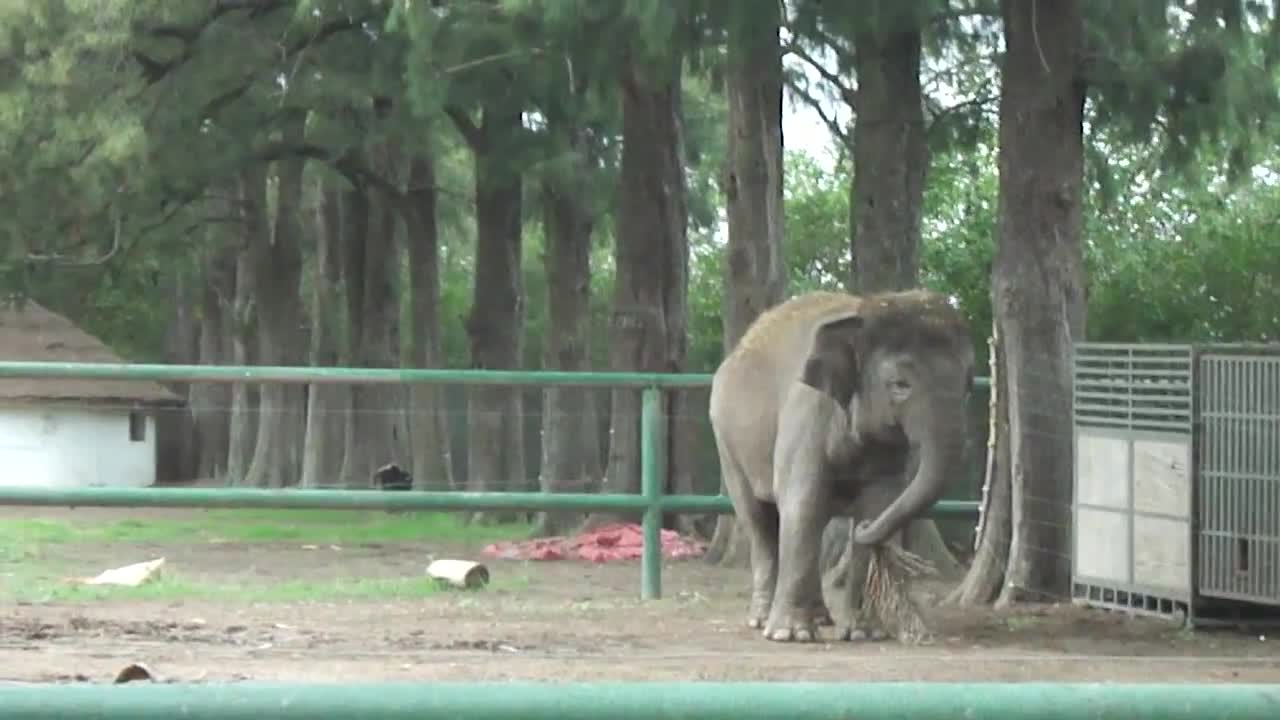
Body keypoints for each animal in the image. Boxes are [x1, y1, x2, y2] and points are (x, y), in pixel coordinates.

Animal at [706, 285, 972, 638]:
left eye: (970, 382)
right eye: (900, 385)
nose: (862, 529)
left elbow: (878, 501)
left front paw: (864, 633)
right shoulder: (807, 413)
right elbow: (802, 501)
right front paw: (791, 635)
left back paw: (821, 619)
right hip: (727, 442)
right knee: (758, 520)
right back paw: (762, 621)